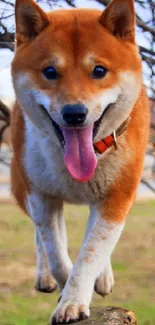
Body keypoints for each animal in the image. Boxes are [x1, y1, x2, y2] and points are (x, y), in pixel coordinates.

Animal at [5, 0, 150, 322]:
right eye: (49, 71)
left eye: (99, 70)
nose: (74, 113)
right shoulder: (42, 196)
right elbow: (57, 254)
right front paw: (64, 290)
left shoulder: (117, 196)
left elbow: (92, 253)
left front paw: (73, 300)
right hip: (22, 186)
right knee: (39, 236)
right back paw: (45, 276)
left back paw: (103, 276)